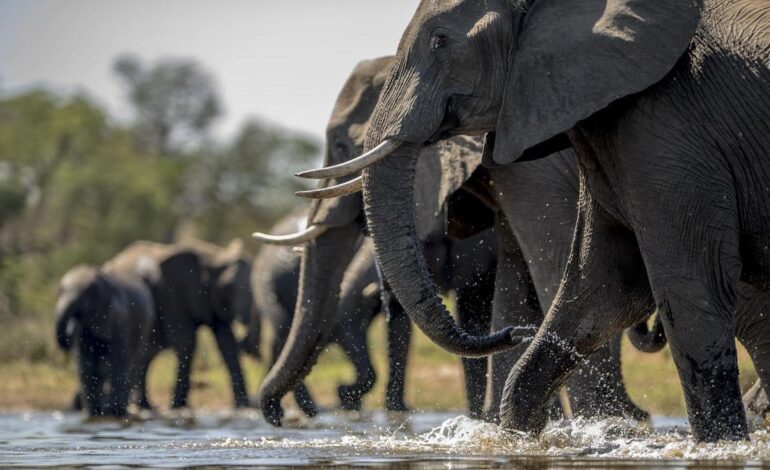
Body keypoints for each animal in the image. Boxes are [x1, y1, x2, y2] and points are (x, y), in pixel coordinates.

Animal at [54, 266, 154, 416]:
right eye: (59, 291)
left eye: (86, 296)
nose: (69, 332)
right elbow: (86, 363)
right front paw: (94, 413)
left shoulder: (120, 318)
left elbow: (119, 360)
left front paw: (115, 411)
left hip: (145, 327)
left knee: (133, 363)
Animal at [103, 239, 254, 408]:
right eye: (228, 286)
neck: (213, 256)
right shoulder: (172, 292)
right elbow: (186, 341)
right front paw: (178, 405)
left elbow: (227, 343)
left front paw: (243, 405)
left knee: (145, 356)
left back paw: (145, 406)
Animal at [255, 56, 644, 426]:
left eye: (340, 144)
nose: (279, 417)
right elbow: (511, 283)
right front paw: (495, 425)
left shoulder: (534, 172)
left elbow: (553, 268)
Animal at [306, 0, 768, 442]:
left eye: (440, 41)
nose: (515, 333)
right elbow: (602, 285)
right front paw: (518, 434)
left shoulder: (664, 133)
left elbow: (686, 284)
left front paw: (711, 444)